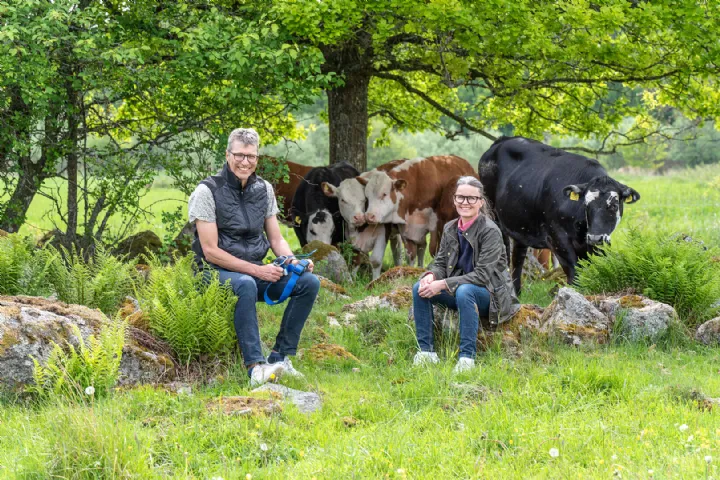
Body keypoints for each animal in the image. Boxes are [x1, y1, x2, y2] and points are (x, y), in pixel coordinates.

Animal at [478, 136, 640, 294]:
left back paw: (516, 293)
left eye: (614, 205)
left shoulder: (597, 245)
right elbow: (575, 273)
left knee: (518, 257)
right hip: (494, 218)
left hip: (520, 225)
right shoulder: (557, 238)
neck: (581, 227)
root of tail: (502, 140)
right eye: (586, 205)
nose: (595, 237)